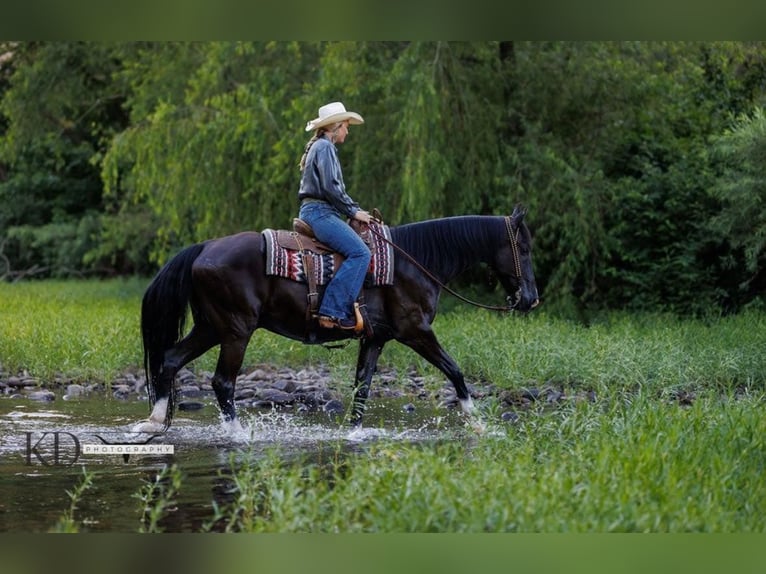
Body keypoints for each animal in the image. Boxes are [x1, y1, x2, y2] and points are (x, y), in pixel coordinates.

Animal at [133, 205, 539, 433]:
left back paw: (153, 421)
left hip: (210, 327)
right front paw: (479, 424)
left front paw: (353, 434)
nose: (530, 299)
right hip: (235, 330)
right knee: (222, 382)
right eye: (523, 248)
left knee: (169, 359)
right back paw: (237, 434)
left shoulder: (376, 338)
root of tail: (204, 248)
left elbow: (362, 387)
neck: (414, 262)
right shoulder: (416, 331)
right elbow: (455, 371)